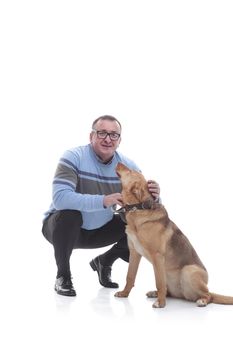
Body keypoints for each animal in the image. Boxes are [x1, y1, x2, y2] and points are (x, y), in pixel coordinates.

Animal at [114, 163, 233, 308]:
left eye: (131, 171)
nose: (118, 163)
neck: (138, 209)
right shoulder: (134, 253)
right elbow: (130, 276)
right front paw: (124, 293)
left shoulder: (157, 256)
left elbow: (159, 282)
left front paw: (160, 303)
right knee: (169, 292)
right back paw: (155, 293)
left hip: (188, 271)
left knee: (208, 295)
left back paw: (202, 300)